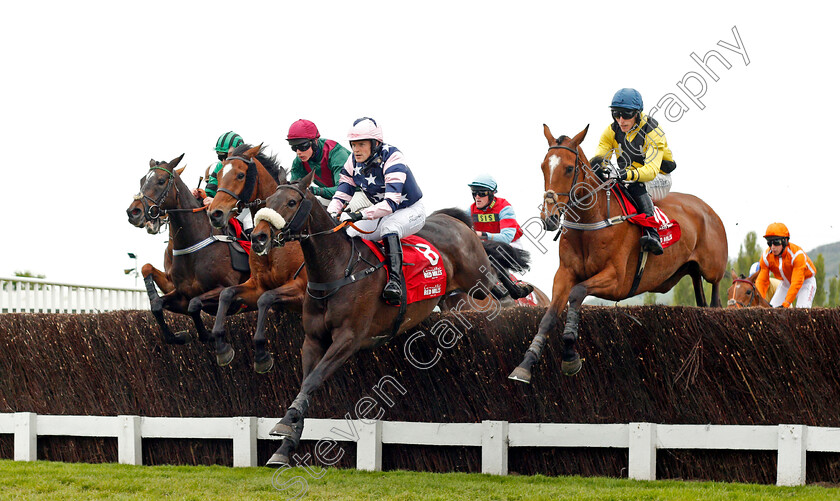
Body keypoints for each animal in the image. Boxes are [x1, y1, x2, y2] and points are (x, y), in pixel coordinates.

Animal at [124, 154, 249, 346]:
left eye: (161, 181)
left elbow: (195, 304)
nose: (133, 212)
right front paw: (180, 336)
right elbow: (158, 305)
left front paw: (213, 338)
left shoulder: (229, 290)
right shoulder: (180, 294)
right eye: (142, 180)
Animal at [205, 143, 306, 370]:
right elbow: (227, 294)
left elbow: (265, 299)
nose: (215, 214)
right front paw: (222, 348)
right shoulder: (257, 285)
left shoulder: (301, 289)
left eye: (241, 175)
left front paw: (262, 355)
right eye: (219, 174)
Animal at [248, 169, 532, 464]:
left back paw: (517, 291)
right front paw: (284, 445)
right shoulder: (313, 339)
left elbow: (314, 379)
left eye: (292, 202)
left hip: (476, 278)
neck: (336, 269)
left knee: (494, 272)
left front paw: (285, 422)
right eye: (268, 200)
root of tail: (451, 219)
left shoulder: (348, 339)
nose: (258, 237)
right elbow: (305, 383)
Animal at [506, 125, 728, 382]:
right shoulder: (564, 273)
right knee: (699, 294)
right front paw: (525, 364)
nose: (549, 218)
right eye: (543, 166)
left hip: (713, 270)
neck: (591, 221)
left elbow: (577, 292)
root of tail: (708, 210)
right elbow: (549, 316)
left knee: (715, 298)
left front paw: (570, 355)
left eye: (569, 168)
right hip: (691, 269)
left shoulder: (617, 280)